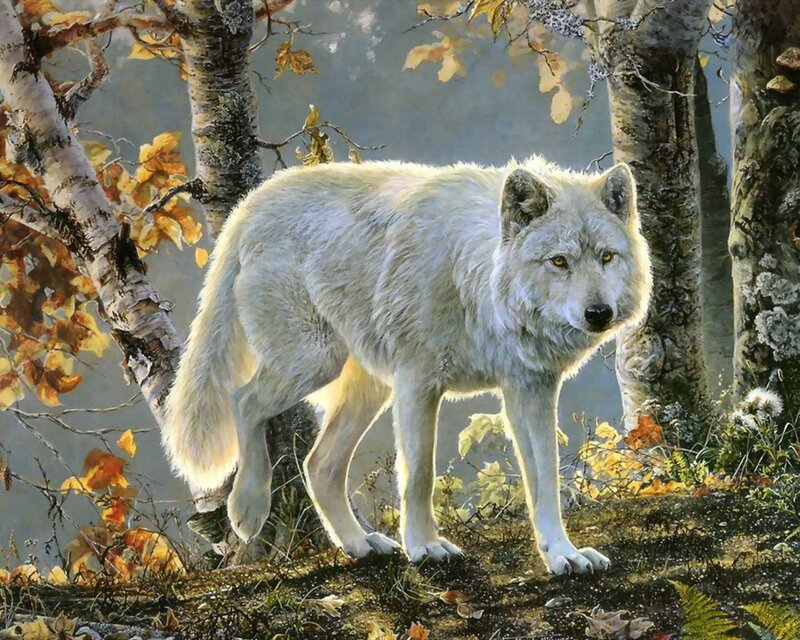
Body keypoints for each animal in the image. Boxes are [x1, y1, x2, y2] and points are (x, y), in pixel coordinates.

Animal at [163, 156, 651, 575]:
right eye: (559, 261)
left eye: (606, 256)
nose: (598, 313)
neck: (474, 279)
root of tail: (252, 204)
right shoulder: (419, 383)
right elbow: (419, 474)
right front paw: (424, 546)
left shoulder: (530, 389)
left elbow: (545, 478)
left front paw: (563, 554)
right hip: (314, 361)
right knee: (242, 400)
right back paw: (247, 509)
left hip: (366, 389)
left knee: (319, 465)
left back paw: (359, 544)